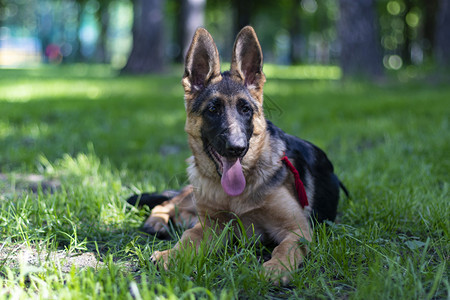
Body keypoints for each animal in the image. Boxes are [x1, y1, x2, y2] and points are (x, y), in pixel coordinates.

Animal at [130, 25, 348, 284]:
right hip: (195, 190)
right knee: (168, 202)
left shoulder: (297, 229)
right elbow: (189, 238)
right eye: (213, 109)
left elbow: (285, 247)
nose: (237, 147)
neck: (236, 197)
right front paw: (171, 255)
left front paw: (277, 267)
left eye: (245, 109)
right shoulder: (212, 226)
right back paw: (156, 222)